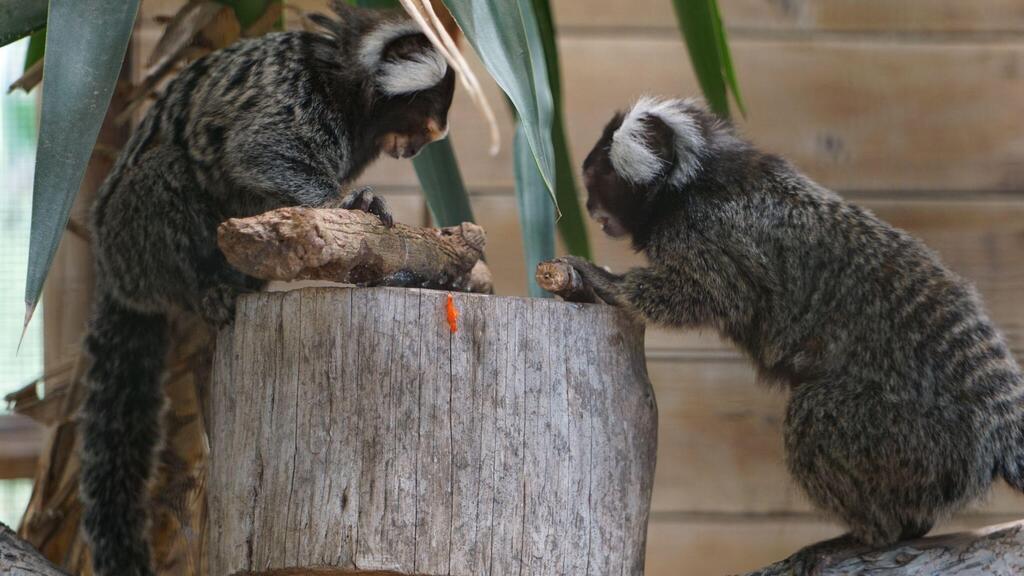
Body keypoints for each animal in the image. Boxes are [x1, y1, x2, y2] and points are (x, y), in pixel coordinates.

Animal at [75, 2, 452, 569]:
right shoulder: (296, 97)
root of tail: (111, 269)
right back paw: (208, 287)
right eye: (426, 112)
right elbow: (259, 151)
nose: (428, 139)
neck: (344, 80)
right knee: (170, 169)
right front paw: (346, 204)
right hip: (132, 234)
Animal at [565, 96, 1024, 557]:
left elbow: (715, 292)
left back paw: (877, 533)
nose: (587, 207)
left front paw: (609, 285)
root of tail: (999, 417)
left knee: (815, 411)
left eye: (596, 179)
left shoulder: (708, 229)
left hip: (924, 439)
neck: (690, 184)